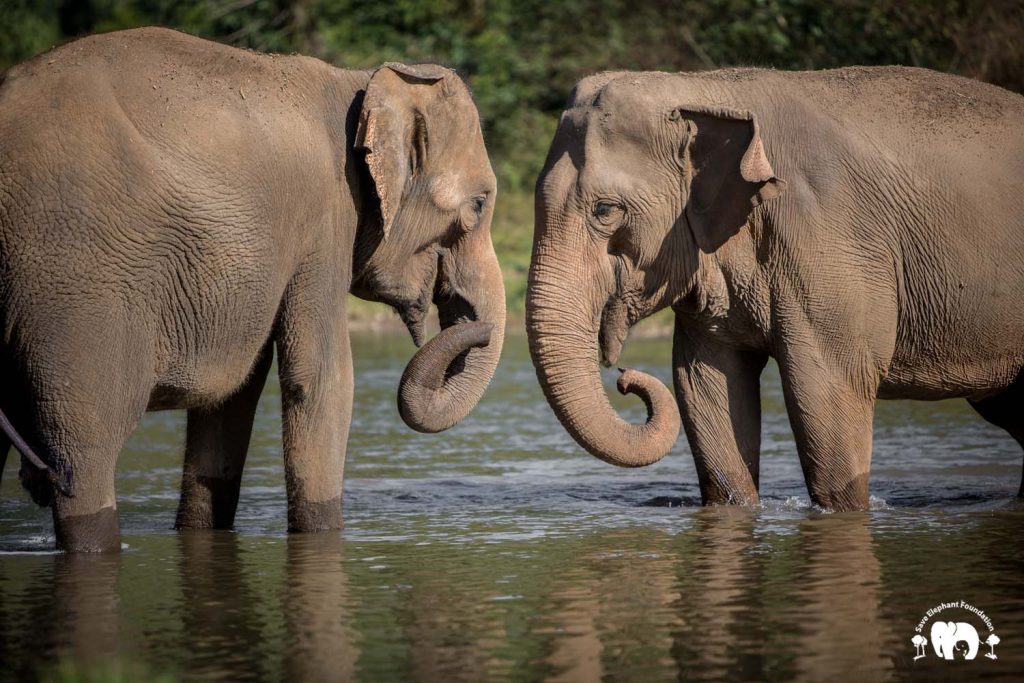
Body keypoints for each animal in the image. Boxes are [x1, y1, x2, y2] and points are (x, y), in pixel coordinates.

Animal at [0, 26, 503, 552]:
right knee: (86, 442)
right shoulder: (324, 218)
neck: (357, 81)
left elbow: (234, 397)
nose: (482, 330)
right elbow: (322, 379)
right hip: (76, 283)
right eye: (479, 203)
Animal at [528, 66, 1024, 509]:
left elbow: (828, 388)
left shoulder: (832, 243)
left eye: (605, 210)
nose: (623, 377)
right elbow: (704, 386)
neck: (708, 89)